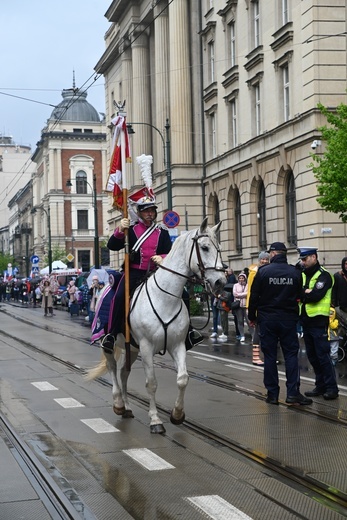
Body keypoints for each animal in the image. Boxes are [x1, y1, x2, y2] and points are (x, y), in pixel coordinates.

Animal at [87, 217, 226, 432]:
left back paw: (127, 407)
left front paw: (177, 414)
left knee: (123, 372)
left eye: (218, 247)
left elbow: (183, 379)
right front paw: (155, 420)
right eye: (204, 247)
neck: (165, 298)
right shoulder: (146, 347)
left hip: (132, 348)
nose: (221, 281)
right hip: (109, 342)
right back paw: (118, 404)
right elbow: (151, 383)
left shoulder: (177, 345)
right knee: (112, 368)